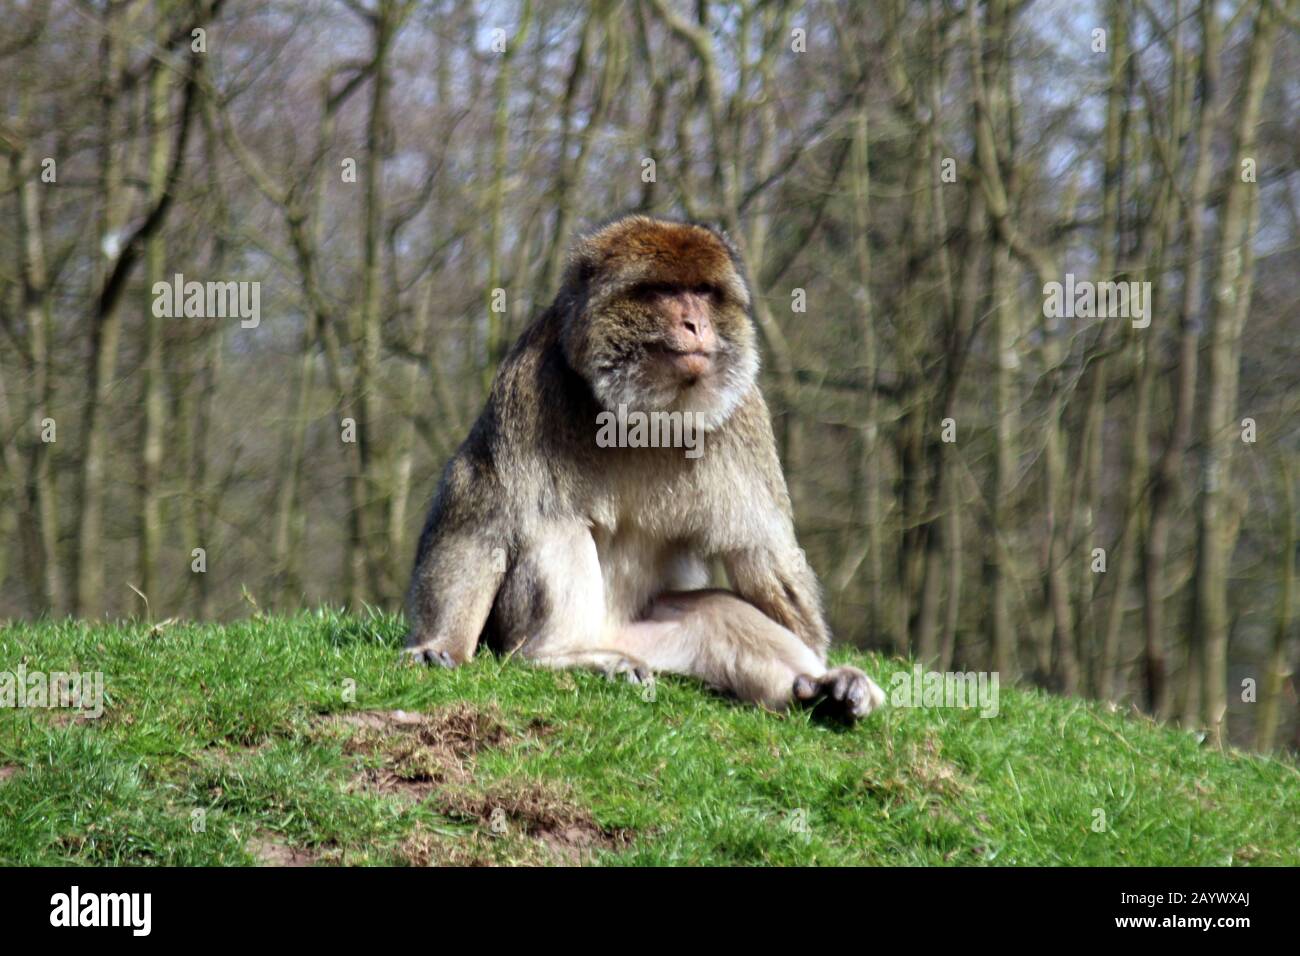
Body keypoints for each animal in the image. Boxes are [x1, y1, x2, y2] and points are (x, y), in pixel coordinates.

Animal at [403, 214, 883, 723]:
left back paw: (818, 688)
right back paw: (561, 655)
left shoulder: (742, 414)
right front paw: (442, 645)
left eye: (703, 291)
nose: (696, 323)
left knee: (714, 610)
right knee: (555, 525)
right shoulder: (528, 385)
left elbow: (762, 552)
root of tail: (609, 635)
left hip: (652, 640)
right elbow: (479, 515)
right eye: (665, 291)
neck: (643, 413)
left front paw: (823, 666)